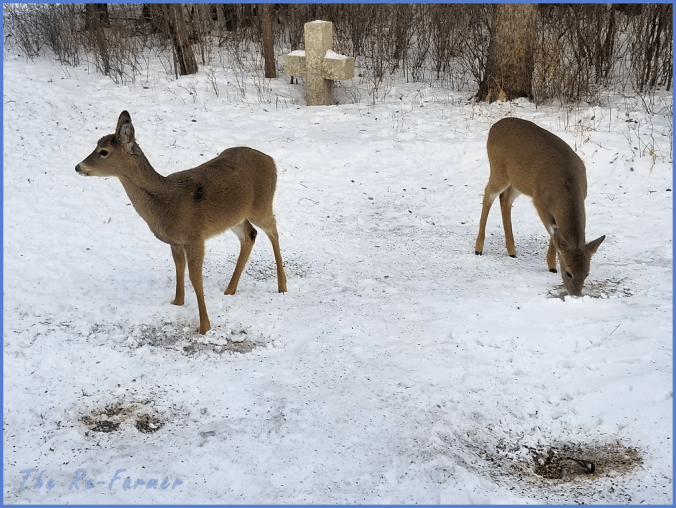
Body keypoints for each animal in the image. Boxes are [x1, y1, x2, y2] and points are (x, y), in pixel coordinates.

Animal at [76, 111, 287, 334]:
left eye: (103, 152)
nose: (78, 167)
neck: (167, 201)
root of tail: (271, 161)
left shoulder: (195, 236)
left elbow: (195, 277)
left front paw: (204, 326)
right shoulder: (176, 241)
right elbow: (179, 268)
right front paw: (177, 302)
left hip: (262, 204)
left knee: (273, 230)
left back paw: (282, 285)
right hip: (235, 217)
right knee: (250, 234)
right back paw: (230, 289)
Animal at [474, 117, 605, 297]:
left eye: (587, 273)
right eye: (568, 273)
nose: (576, 295)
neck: (566, 183)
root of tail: (494, 127)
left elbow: (556, 233)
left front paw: (552, 265)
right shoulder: (539, 201)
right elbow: (553, 231)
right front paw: (552, 265)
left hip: (518, 181)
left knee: (505, 198)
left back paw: (512, 250)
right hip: (498, 171)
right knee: (488, 194)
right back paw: (478, 248)